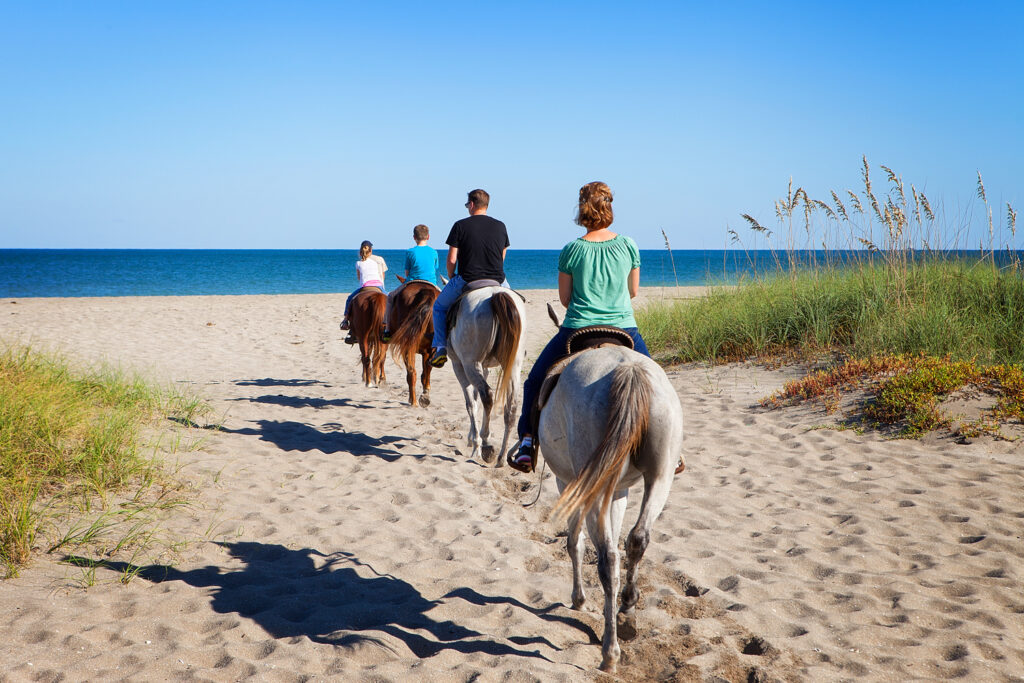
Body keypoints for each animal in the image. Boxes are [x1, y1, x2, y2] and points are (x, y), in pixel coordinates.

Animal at [447, 286, 526, 466]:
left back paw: (485, 444)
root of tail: (495, 295)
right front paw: (472, 438)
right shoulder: (484, 367)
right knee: (511, 407)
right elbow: (476, 400)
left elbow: (471, 403)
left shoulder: (459, 366)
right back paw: (501, 457)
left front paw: (475, 443)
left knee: (487, 396)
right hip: (513, 366)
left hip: (470, 364)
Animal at [539, 341, 684, 673]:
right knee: (637, 539)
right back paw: (627, 613)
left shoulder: (568, 483)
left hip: (594, 486)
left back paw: (610, 652)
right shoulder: (618, 490)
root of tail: (629, 370)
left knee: (607, 559)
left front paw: (579, 599)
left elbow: (574, 542)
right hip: (661, 476)